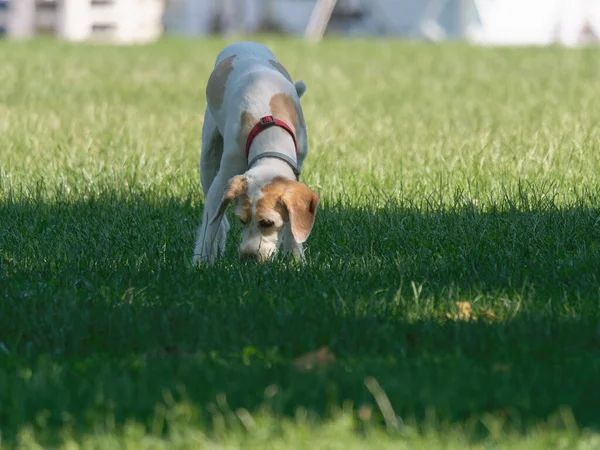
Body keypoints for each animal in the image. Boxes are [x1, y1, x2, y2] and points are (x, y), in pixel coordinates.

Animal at [195, 41, 322, 264]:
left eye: (268, 223)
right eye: (242, 220)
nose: (248, 257)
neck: (270, 135)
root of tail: (243, 42)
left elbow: (294, 225)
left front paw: (296, 259)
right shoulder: (224, 176)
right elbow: (209, 226)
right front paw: (200, 263)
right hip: (209, 153)